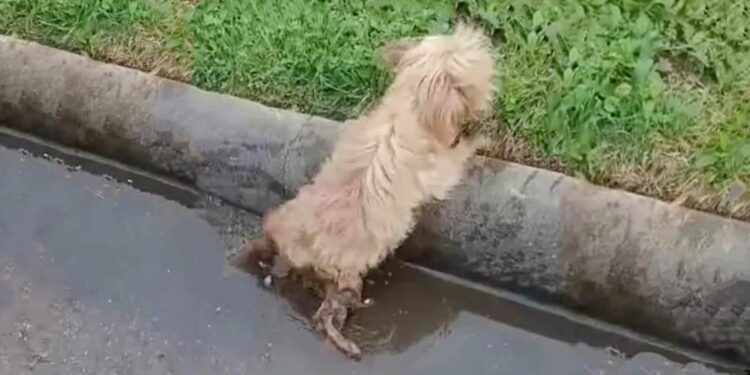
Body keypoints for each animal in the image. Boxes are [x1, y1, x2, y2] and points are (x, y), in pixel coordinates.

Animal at [242, 22, 500, 358]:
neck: (409, 106)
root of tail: (287, 244)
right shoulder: (441, 168)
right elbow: (461, 154)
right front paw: (482, 139)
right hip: (346, 280)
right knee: (328, 314)